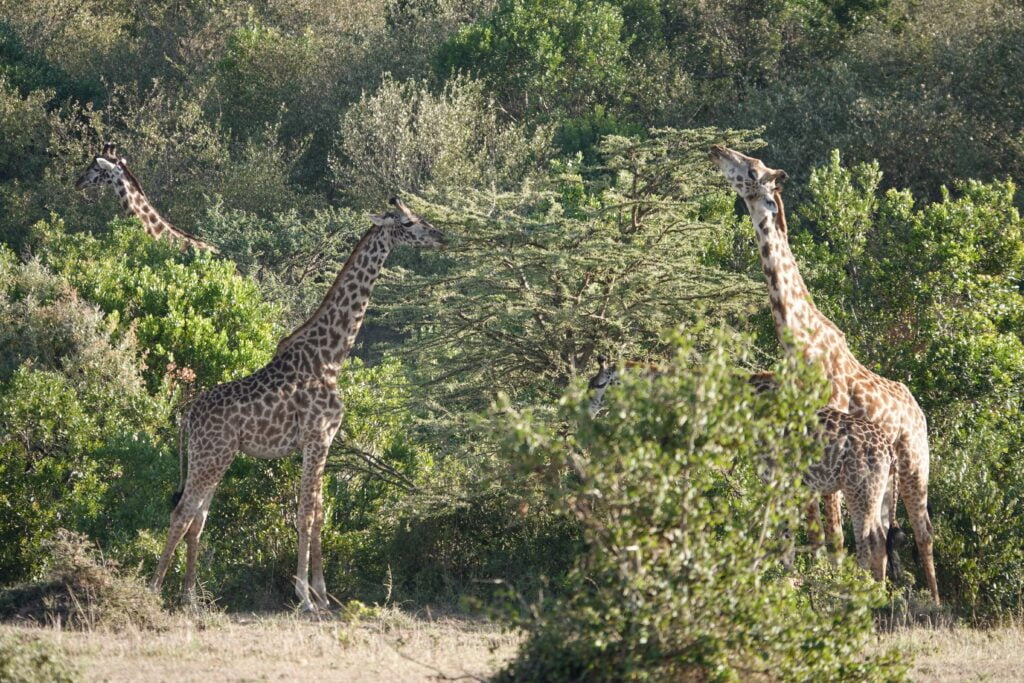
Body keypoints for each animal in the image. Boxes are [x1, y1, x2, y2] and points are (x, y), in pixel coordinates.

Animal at [149, 197, 446, 610]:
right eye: (407, 222)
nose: (441, 237)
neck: (331, 358)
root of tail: (187, 416)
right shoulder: (317, 437)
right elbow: (306, 514)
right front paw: (305, 595)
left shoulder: (323, 441)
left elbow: (319, 513)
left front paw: (323, 595)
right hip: (212, 456)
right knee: (182, 513)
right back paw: (153, 590)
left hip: (213, 456)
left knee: (197, 518)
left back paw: (191, 598)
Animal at [708, 145, 937, 602]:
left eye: (752, 170)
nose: (718, 149)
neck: (800, 339)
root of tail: (918, 410)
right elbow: (814, 534)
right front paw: (814, 591)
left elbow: (832, 536)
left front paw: (830, 593)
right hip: (885, 480)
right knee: (887, 533)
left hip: (913, 462)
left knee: (922, 531)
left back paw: (935, 603)